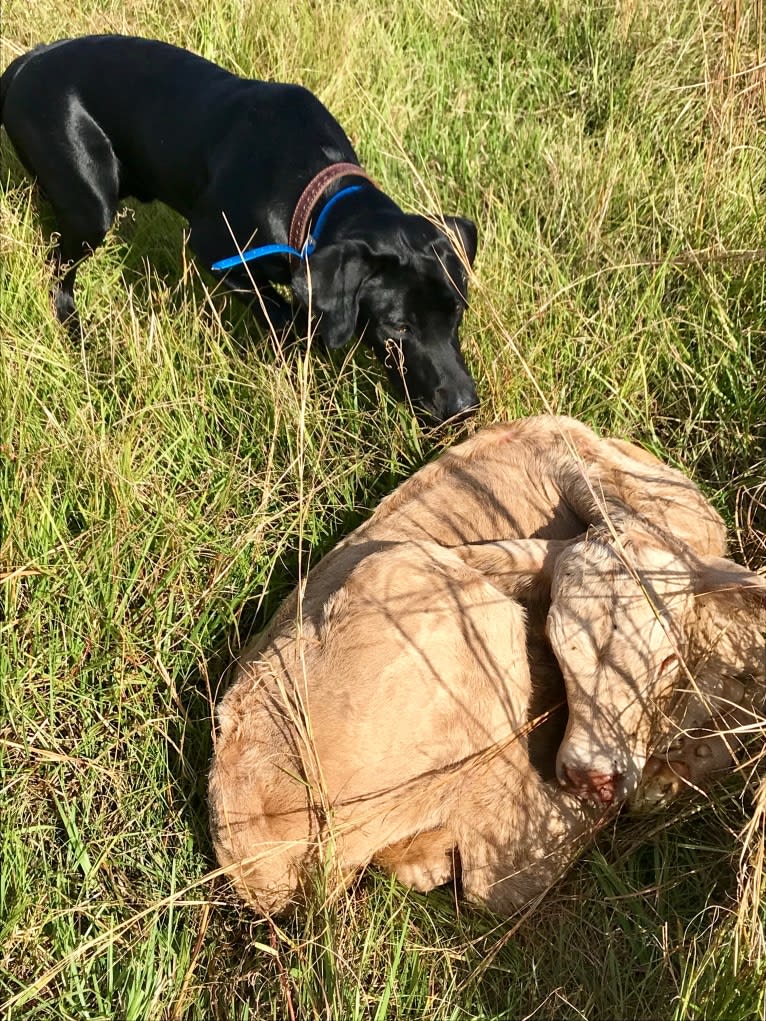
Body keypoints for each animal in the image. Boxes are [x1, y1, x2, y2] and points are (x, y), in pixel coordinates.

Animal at [0, 33, 480, 420]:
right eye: (398, 327)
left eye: (456, 312)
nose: (463, 407)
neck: (314, 186)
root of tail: (24, 64)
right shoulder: (218, 252)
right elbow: (282, 315)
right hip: (91, 207)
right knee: (58, 271)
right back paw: (77, 335)